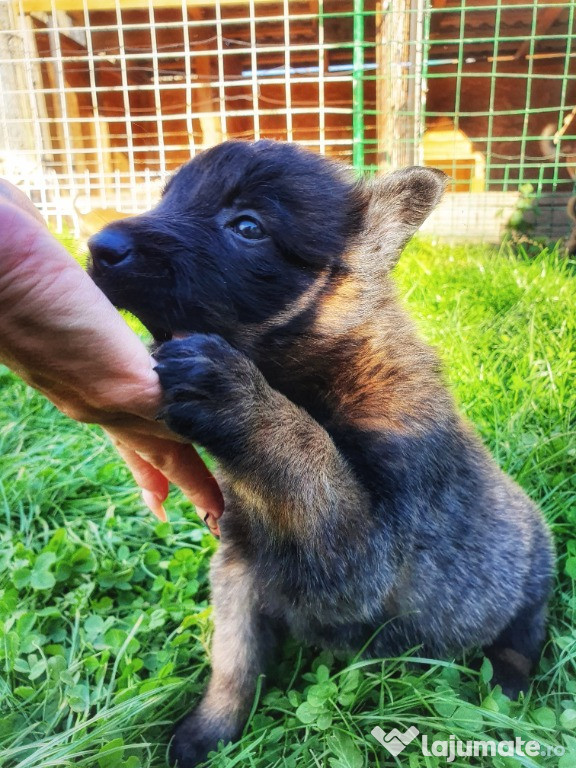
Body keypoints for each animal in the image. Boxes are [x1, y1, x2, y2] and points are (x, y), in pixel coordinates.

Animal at [89, 140, 552, 768]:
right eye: (169, 197)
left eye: (248, 226)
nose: (98, 246)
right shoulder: (240, 567)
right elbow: (234, 661)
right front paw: (209, 731)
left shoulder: (363, 560)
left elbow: (307, 451)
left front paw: (239, 397)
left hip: (530, 586)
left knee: (522, 642)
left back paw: (508, 688)